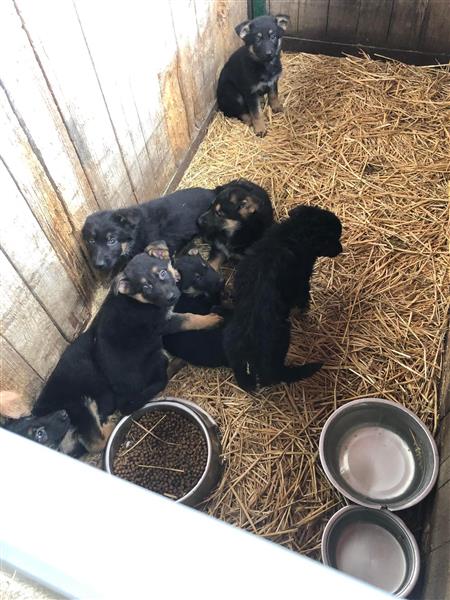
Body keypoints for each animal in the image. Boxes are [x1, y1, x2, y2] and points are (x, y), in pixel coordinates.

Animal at [31, 241, 221, 452]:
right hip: (152, 358)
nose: (172, 297)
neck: (138, 300)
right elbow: (189, 318)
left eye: (162, 273)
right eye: (146, 287)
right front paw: (212, 320)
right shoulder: (164, 323)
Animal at [223, 205, 342, 394]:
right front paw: (305, 311)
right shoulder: (301, 280)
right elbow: (303, 298)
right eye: (331, 238)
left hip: (233, 349)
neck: (294, 232)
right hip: (278, 343)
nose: (341, 249)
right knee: (274, 375)